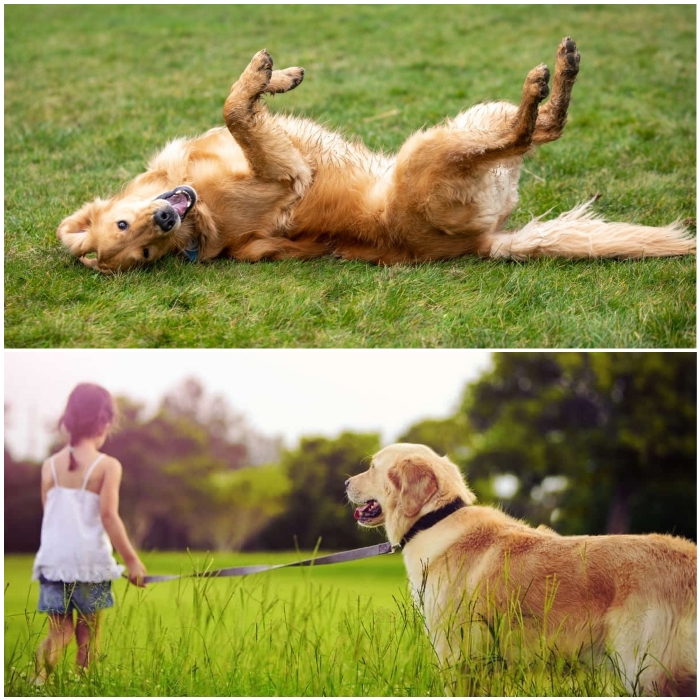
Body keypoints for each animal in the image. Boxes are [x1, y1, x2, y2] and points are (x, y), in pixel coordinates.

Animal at [58, 37, 696, 274]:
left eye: (130, 229)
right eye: (142, 249)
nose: (166, 218)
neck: (199, 200)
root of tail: (483, 243)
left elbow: (240, 108)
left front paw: (279, 76)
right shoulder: (286, 170)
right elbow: (236, 108)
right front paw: (265, 75)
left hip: (467, 123)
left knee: (541, 128)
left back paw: (560, 71)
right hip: (436, 149)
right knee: (531, 132)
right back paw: (547, 79)